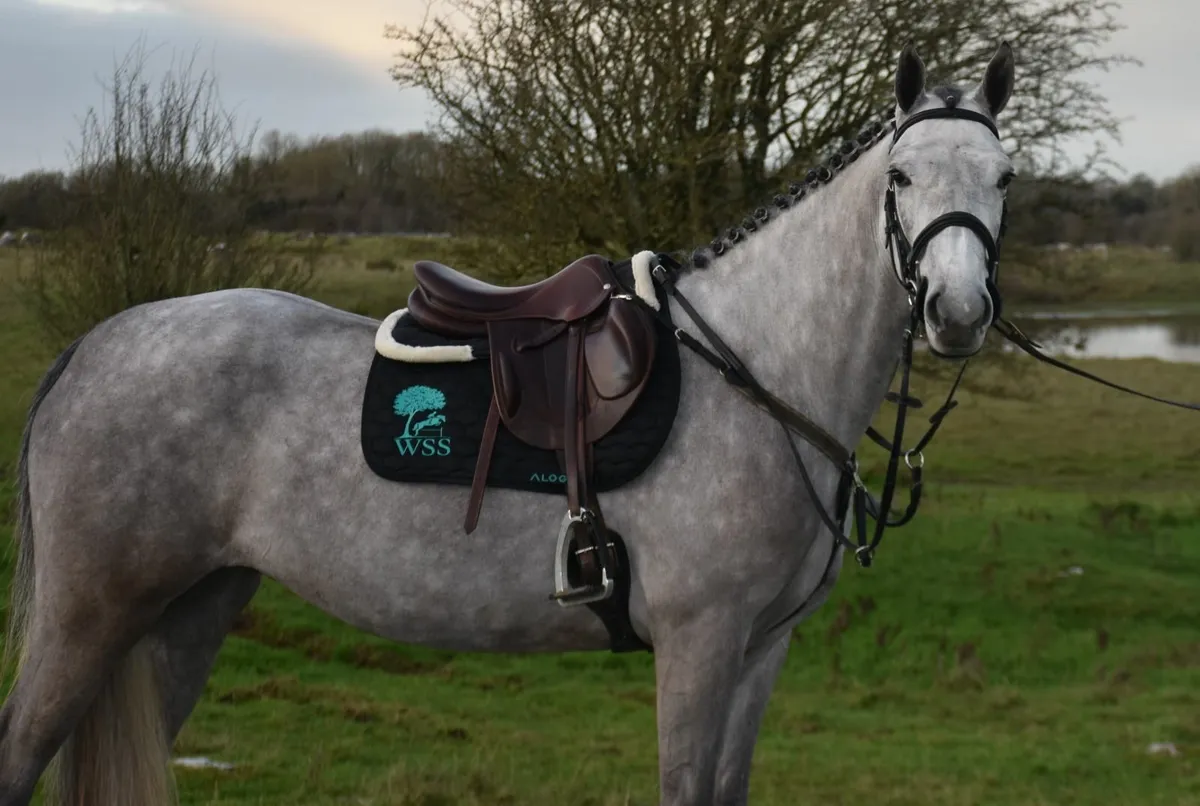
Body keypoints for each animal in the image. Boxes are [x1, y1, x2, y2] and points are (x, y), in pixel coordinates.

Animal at [0, 42, 1016, 805]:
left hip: (189, 613)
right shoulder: (701, 642)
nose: (959, 312)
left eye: (1005, 177)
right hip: (89, 615)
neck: (756, 370)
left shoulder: (760, 651)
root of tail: (95, 344)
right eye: (902, 175)